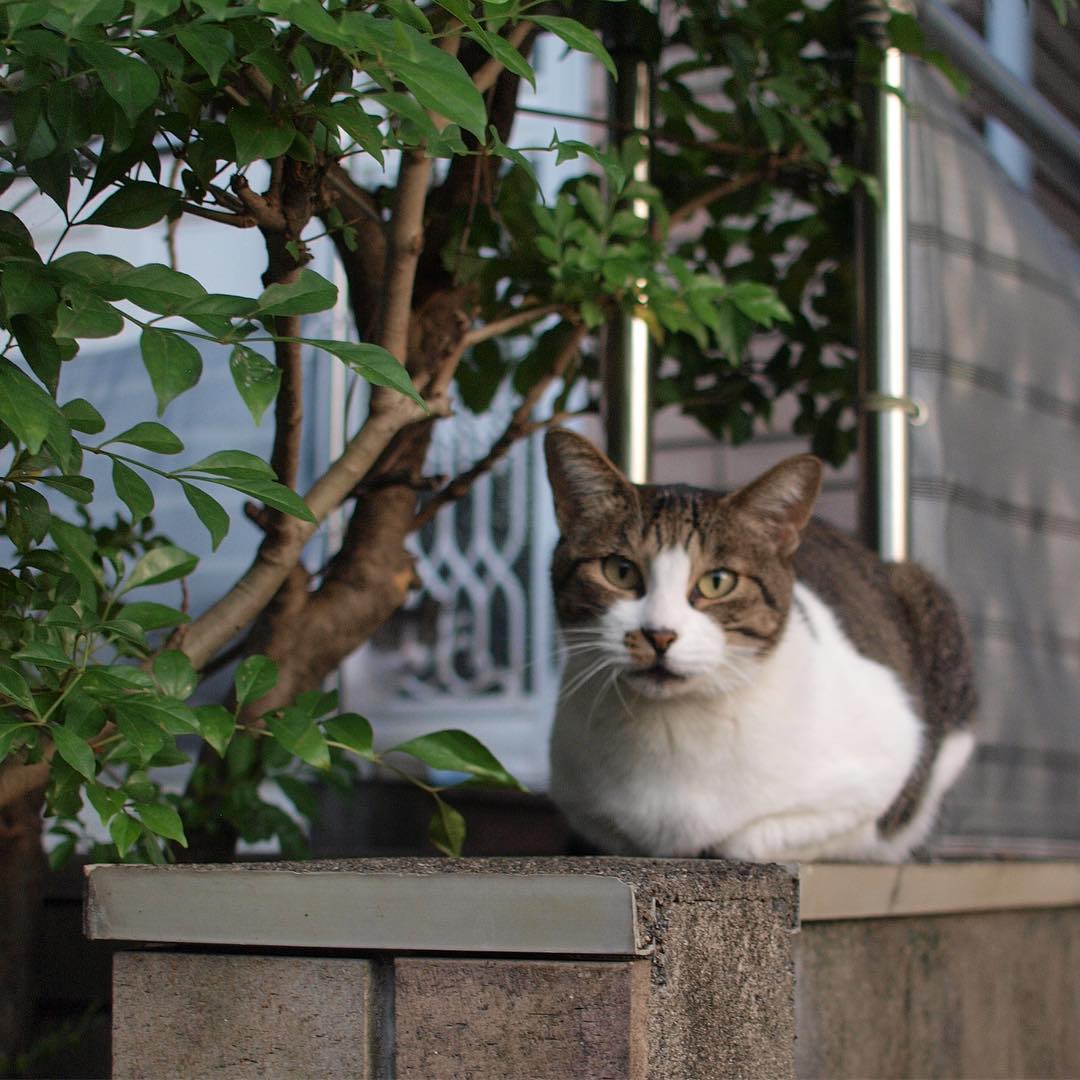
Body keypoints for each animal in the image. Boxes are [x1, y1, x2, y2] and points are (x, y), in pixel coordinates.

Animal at [544, 427, 976, 859]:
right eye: (619, 571)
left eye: (718, 582)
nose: (659, 634)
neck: (669, 729)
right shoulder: (581, 805)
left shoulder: (886, 770)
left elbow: (752, 839)